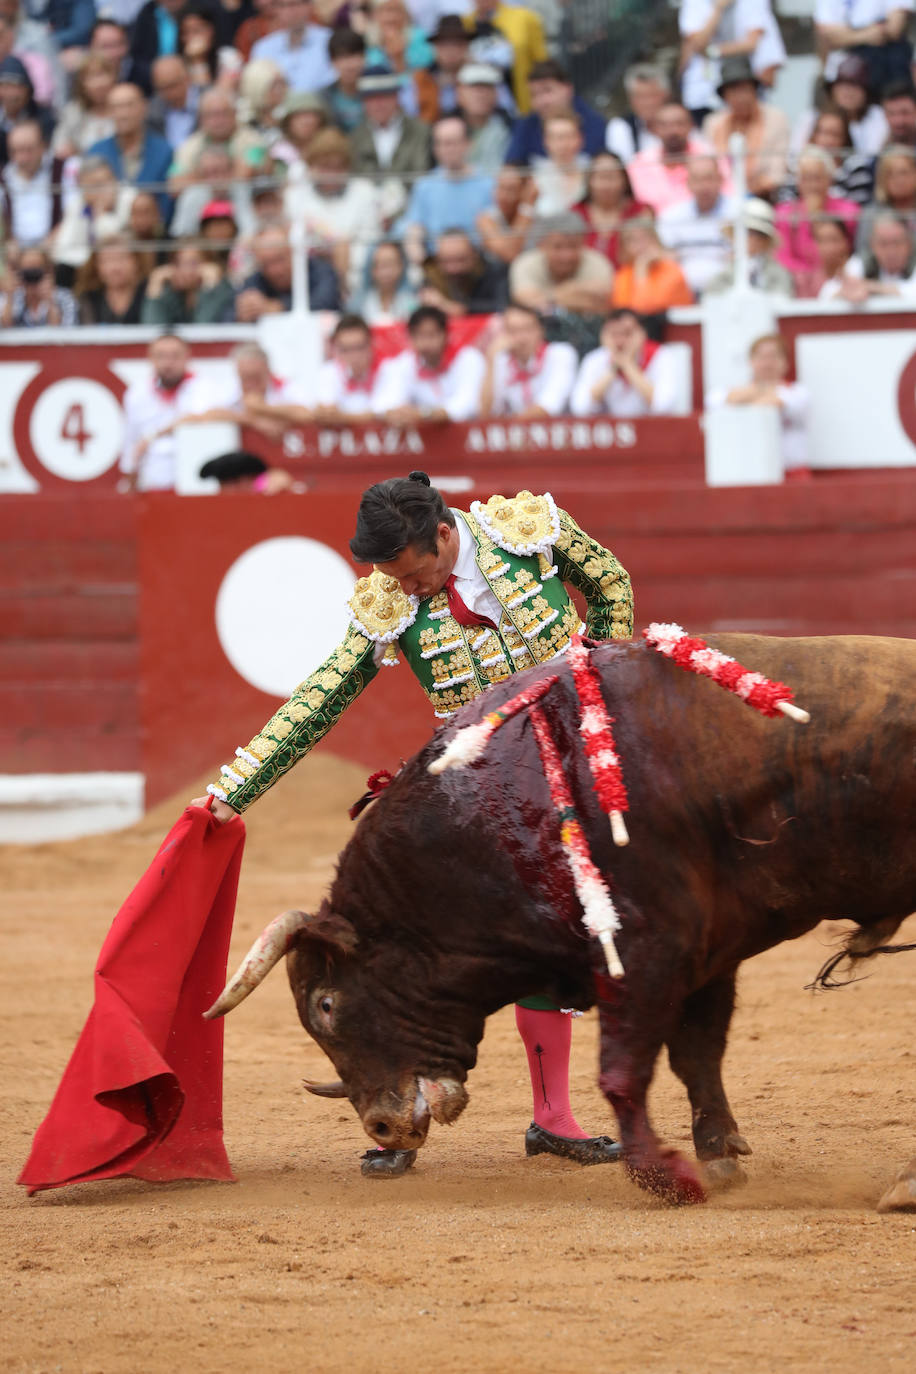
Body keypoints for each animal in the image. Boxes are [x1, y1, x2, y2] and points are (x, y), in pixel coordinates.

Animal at [207, 632, 916, 1214]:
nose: (381, 1129)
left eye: (325, 1004)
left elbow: (622, 1072)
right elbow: (697, 1055)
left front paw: (667, 1178)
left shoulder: (646, 950)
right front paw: (717, 1157)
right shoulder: (709, 953)